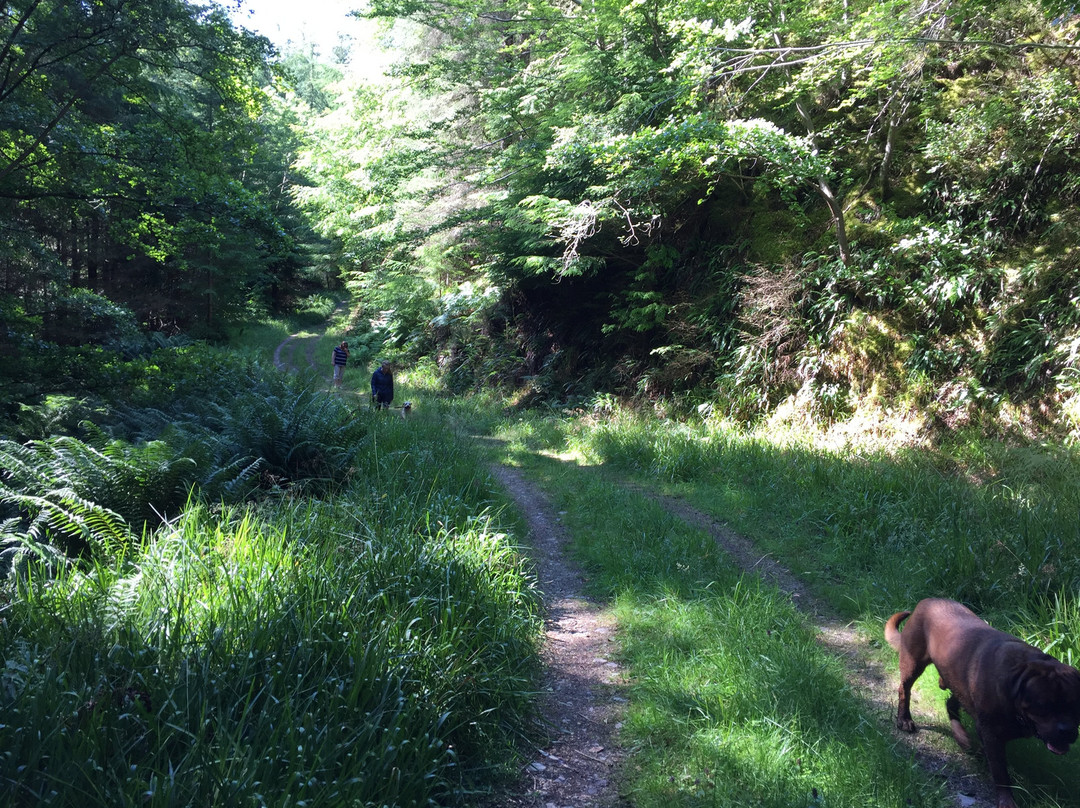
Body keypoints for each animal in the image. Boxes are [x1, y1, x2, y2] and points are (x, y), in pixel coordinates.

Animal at [885, 596, 1080, 803]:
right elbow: (1000, 772)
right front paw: (1007, 801)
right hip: (913, 661)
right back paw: (905, 719)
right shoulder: (991, 734)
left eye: (1076, 707)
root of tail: (927, 600)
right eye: (1042, 705)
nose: (1067, 731)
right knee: (905, 689)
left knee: (951, 704)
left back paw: (963, 738)